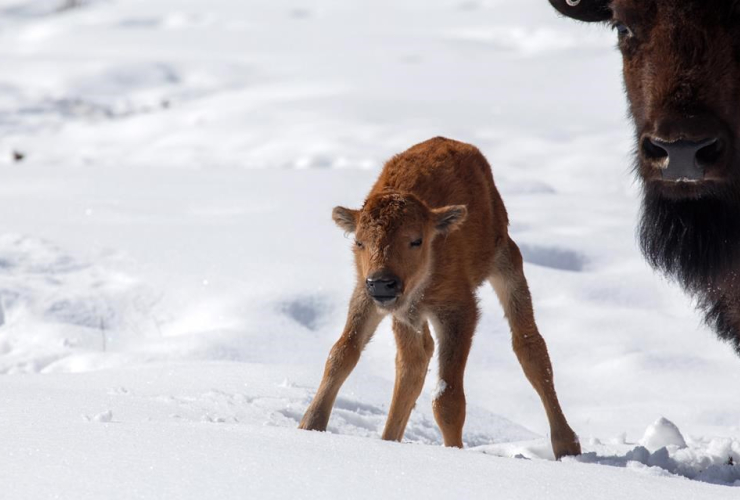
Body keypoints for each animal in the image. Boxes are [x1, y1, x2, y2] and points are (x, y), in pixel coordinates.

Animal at [298, 136, 580, 458]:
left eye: (416, 240)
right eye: (359, 242)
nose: (382, 284)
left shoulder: (458, 312)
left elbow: (448, 398)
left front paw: (454, 450)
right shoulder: (369, 299)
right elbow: (341, 354)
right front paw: (308, 426)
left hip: (506, 262)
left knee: (530, 346)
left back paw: (567, 445)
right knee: (413, 364)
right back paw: (389, 439)